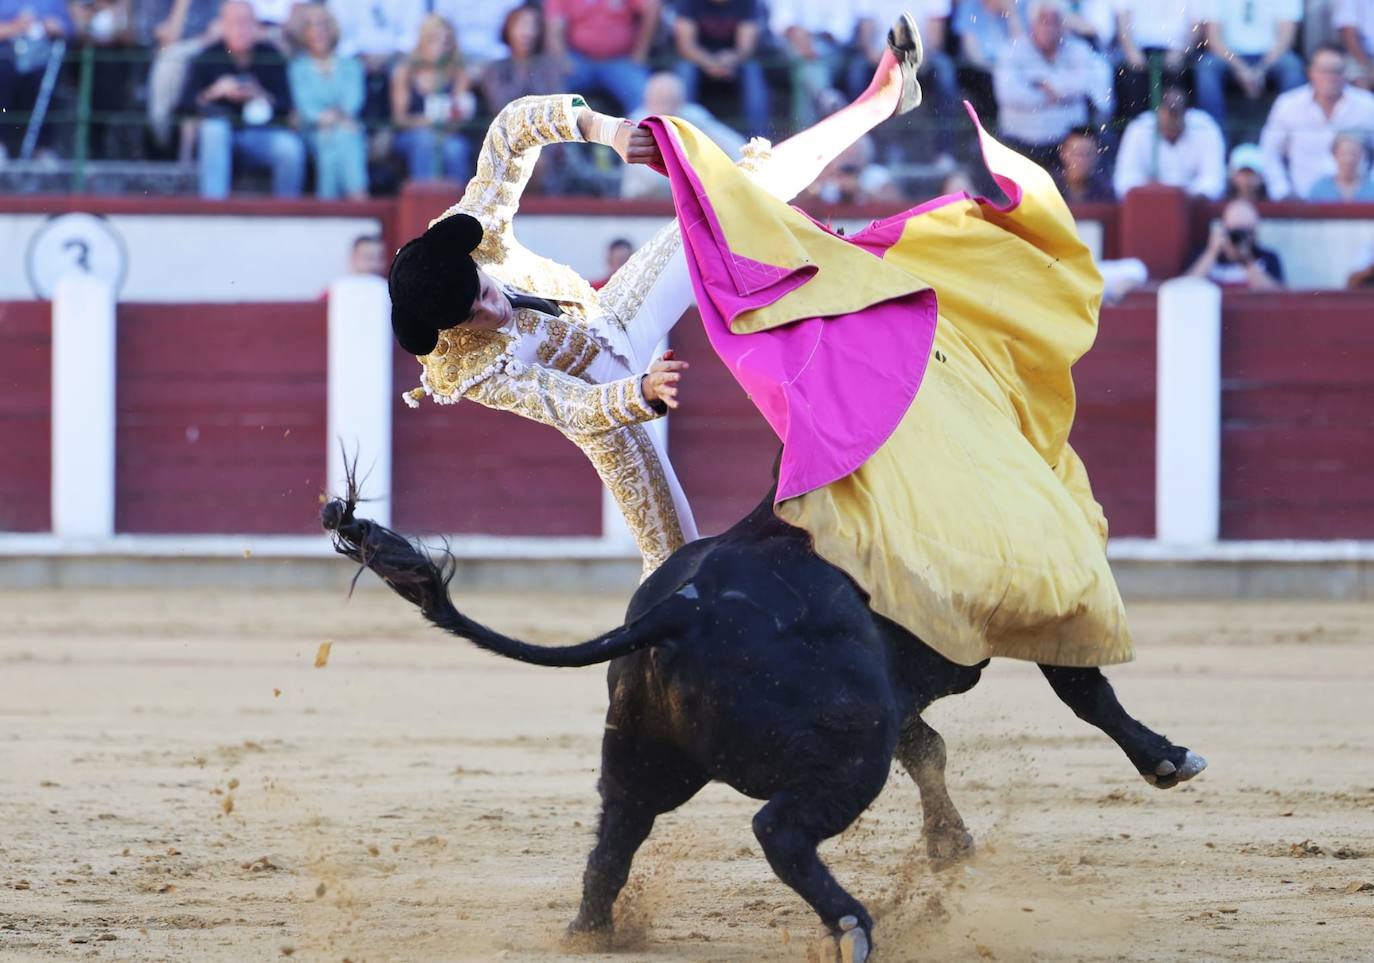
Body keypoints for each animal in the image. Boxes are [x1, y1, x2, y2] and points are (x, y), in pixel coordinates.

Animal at [321, 478, 1203, 956]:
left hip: (641, 759)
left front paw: (950, 844)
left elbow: (932, 749)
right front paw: (1167, 757)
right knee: (779, 829)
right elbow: (1084, 691)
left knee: (612, 843)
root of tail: (679, 609)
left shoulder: (901, 691)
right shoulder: (1037, 606)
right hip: (848, 752)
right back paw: (852, 927)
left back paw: (592, 933)